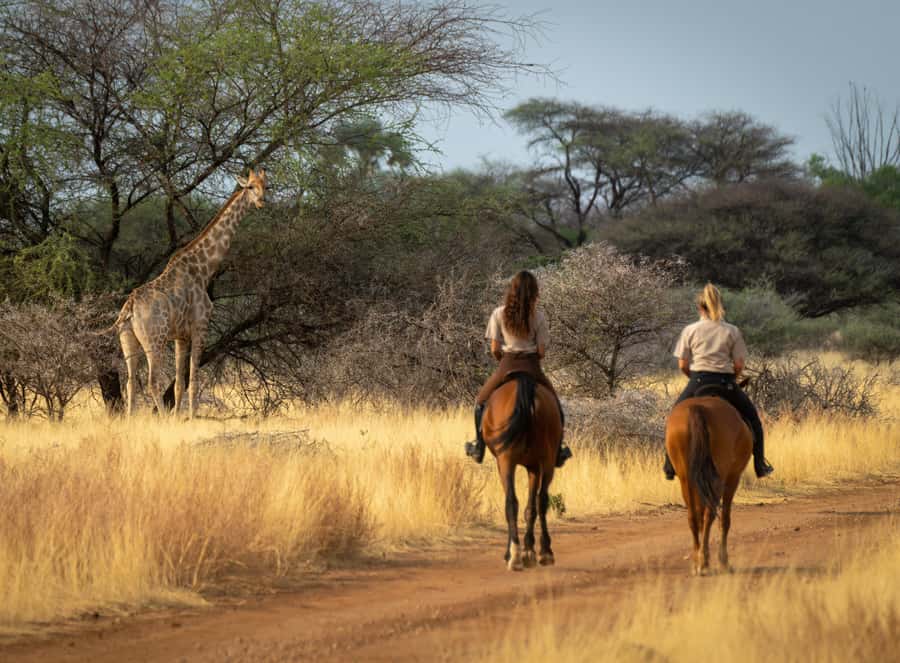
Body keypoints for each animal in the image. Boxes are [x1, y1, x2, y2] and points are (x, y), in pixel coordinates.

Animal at [481, 372, 563, 571]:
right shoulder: (533, 466)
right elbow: (530, 508)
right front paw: (529, 551)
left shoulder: (510, 463)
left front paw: (522, 551)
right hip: (546, 460)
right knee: (539, 500)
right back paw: (541, 553)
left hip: (507, 460)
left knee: (513, 502)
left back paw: (517, 555)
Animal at [665, 396, 752, 576]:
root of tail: (697, 408)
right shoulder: (732, 478)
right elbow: (725, 519)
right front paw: (724, 562)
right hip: (718, 479)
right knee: (710, 515)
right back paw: (705, 562)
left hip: (686, 478)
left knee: (694, 517)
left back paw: (697, 562)